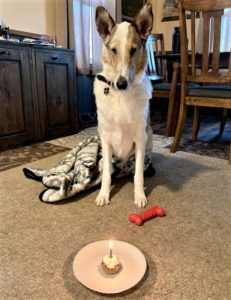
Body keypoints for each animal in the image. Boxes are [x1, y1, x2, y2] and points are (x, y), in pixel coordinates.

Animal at [93, 3, 154, 207]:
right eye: (113, 50)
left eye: (134, 50)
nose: (121, 83)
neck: (121, 95)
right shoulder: (105, 138)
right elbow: (106, 174)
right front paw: (103, 194)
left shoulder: (140, 139)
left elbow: (138, 175)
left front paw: (140, 196)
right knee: (107, 166)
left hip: (148, 140)